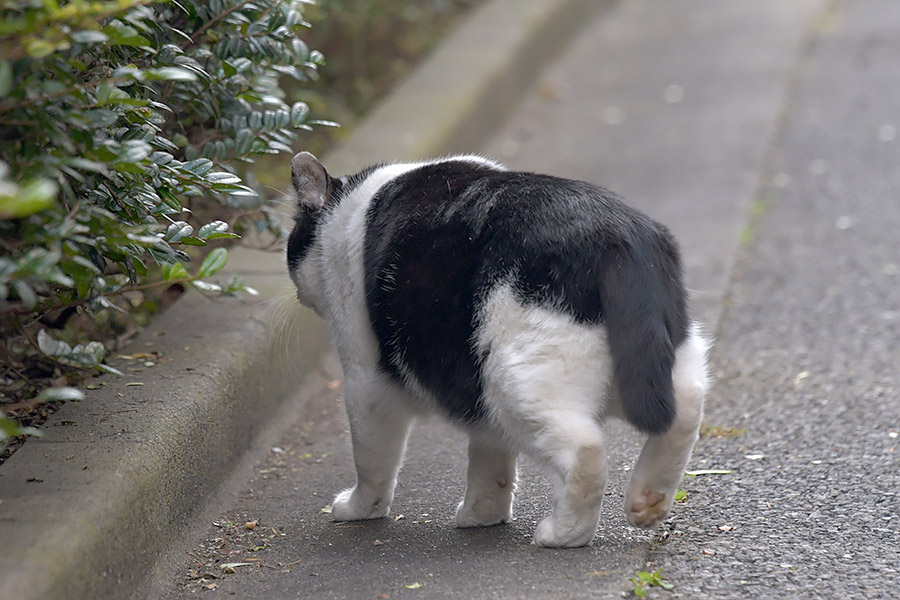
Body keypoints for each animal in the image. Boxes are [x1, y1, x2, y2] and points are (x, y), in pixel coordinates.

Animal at [288, 151, 712, 548]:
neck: (350, 206)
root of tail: (618, 235)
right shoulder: (472, 389)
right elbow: (489, 458)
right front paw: (483, 513)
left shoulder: (366, 383)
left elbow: (371, 460)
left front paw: (359, 508)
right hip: (648, 364)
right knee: (685, 409)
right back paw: (648, 498)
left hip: (515, 378)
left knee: (586, 450)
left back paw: (563, 534)